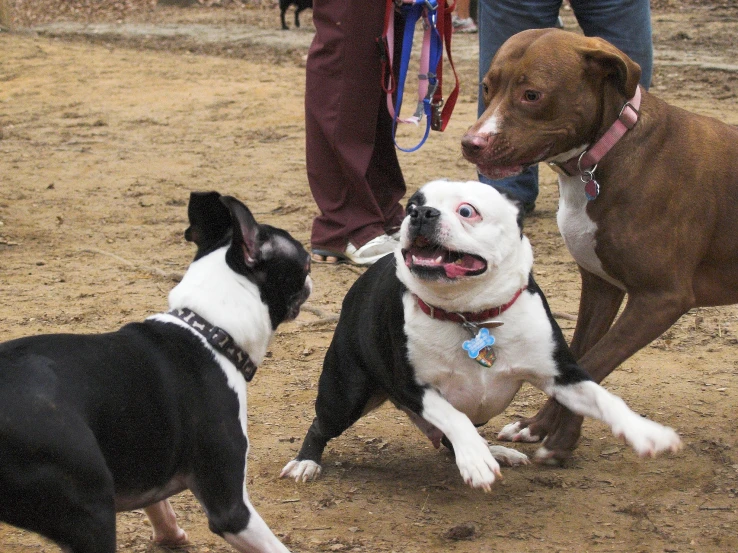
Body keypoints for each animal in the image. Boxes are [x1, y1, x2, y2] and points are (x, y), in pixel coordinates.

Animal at [0, 191, 310, 552]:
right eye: (307, 262)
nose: (312, 276)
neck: (210, 329)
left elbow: (157, 503)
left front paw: (169, 535)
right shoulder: (230, 508)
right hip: (91, 510)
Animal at [280, 179, 680, 490]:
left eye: (467, 211)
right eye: (412, 206)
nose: (421, 215)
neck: (468, 314)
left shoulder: (563, 373)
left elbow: (604, 398)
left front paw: (647, 432)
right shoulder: (413, 387)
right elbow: (452, 416)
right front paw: (474, 459)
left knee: (453, 437)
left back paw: (495, 452)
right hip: (346, 394)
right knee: (321, 425)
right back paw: (306, 462)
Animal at [460, 29, 736, 462]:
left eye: (532, 95)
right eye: (487, 87)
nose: (471, 143)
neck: (605, 154)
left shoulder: (660, 299)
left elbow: (594, 361)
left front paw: (561, 441)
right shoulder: (600, 286)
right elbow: (575, 358)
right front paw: (536, 427)